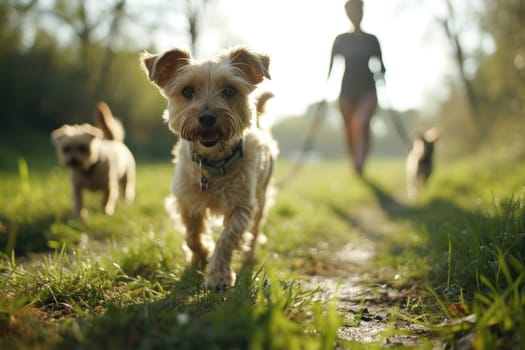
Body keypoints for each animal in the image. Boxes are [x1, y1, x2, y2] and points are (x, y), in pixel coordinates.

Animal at [139, 45, 278, 288]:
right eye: (187, 91)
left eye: (230, 90)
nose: (206, 118)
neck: (213, 163)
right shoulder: (186, 200)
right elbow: (192, 235)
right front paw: (200, 256)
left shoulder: (241, 205)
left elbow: (227, 240)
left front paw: (218, 275)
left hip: (261, 197)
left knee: (256, 227)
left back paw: (250, 253)